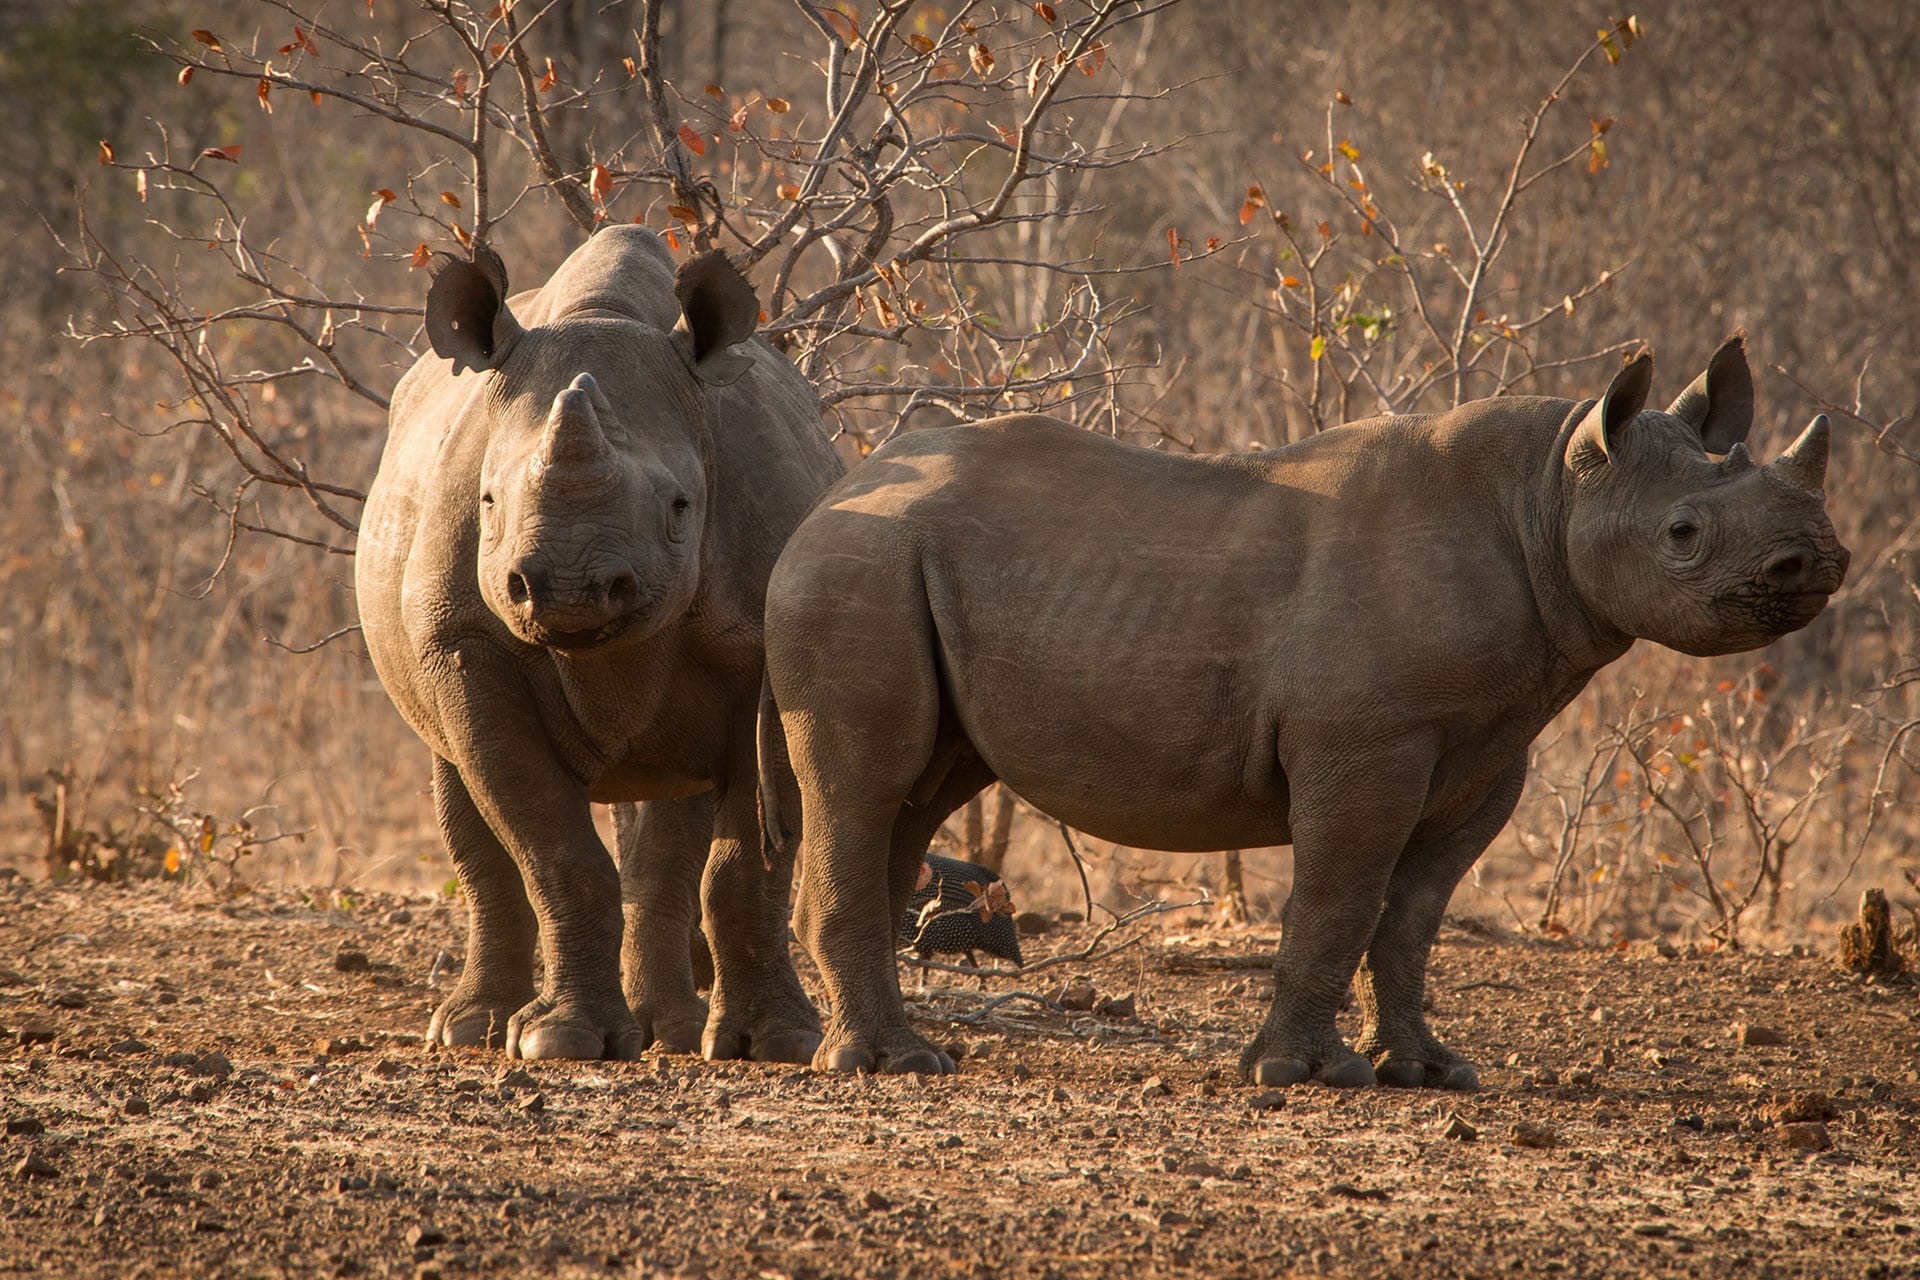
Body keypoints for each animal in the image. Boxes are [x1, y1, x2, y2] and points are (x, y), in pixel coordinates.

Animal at [356, 226, 842, 1060]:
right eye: (488, 502)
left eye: (680, 507)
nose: (570, 588)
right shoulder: (465, 643)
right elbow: (556, 852)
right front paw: (561, 1043)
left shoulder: (771, 651)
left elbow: (747, 863)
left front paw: (777, 1042)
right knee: (460, 789)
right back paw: (473, 1030)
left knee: (678, 816)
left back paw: (671, 1033)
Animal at [759, 338, 1848, 1084]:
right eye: (1683, 533)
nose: (1818, 562)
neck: (1549, 492)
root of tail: (834, 488)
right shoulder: (1367, 742)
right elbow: (1340, 897)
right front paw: (1303, 1075)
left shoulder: (1486, 750)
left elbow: (1411, 917)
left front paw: (1428, 1070)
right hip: (860, 563)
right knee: (868, 784)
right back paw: (887, 1065)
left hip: (891, 564)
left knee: (916, 794)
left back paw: (895, 1047)